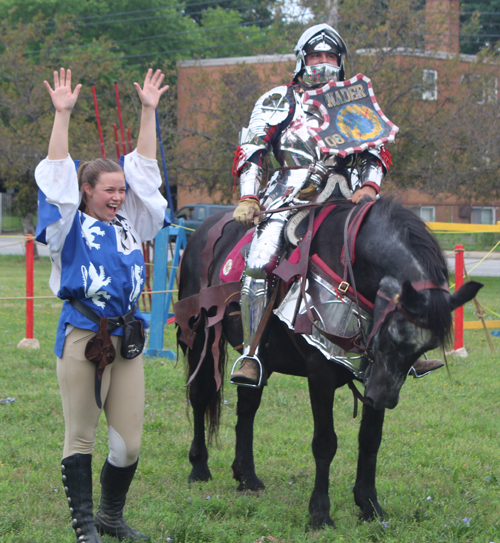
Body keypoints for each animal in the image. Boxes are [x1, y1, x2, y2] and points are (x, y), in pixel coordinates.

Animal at [175, 198, 480, 528]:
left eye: (426, 347)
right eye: (395, 336)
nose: (382, 399)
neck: (352, 262)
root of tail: (200, 231)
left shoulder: (374, 371)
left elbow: (370, 439)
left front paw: (369, 505)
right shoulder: (321, 371)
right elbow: (325, 442)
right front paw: (320, 513)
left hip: (257, 354)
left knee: (247, 404)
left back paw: (247, 476)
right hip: (200, 339)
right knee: (200, 396)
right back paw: (199, 468)